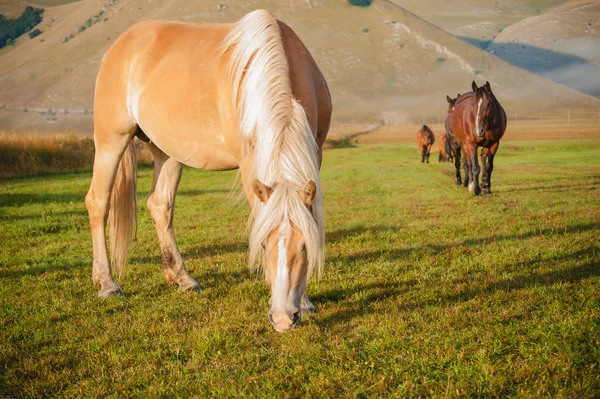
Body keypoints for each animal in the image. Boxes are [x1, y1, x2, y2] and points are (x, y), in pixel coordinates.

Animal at [83, 10, 332, 334]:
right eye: (264, 244)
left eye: (304, 246)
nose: (282, 318)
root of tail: (122, 43)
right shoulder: (249, 165)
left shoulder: (316, 152)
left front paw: (304, 301)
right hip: (111, 141)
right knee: (98, 202)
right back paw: (107, 283)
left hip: (169, 151)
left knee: (160, 205)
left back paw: (182, 278)